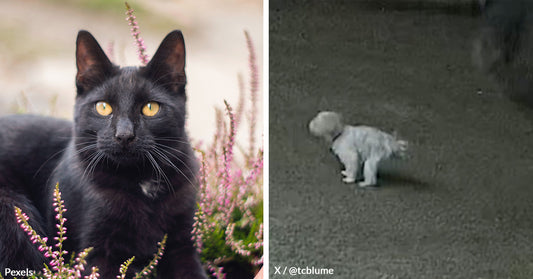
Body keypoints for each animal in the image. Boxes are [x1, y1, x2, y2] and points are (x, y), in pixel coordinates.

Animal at [0, 30, 206, 279]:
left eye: (150, 108)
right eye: (103, 107)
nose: (124, 135)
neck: (141, 182)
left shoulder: (182, 246)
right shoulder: (98, 255)